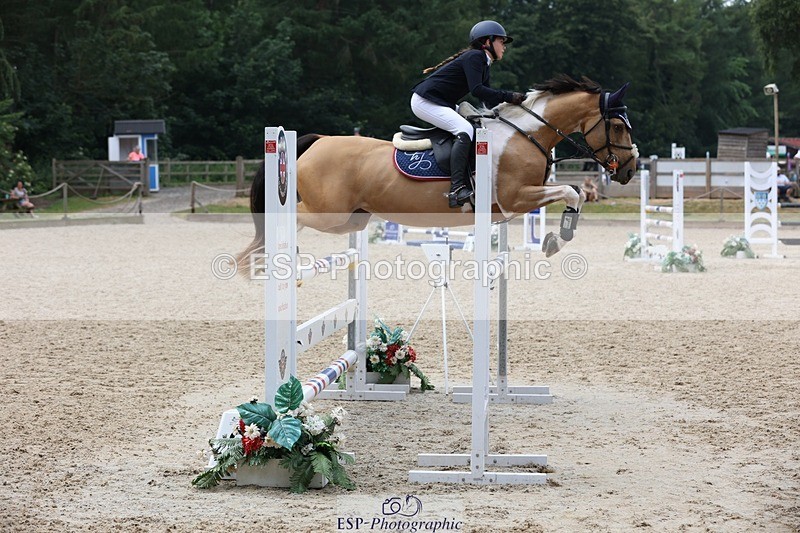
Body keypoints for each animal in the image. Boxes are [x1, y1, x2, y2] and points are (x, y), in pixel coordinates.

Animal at [238, 75, 638, 268]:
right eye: (619, 126)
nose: (630, 169)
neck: (525, 134)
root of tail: (318, 141)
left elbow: (574, 193)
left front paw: (556, 238)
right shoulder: (515, 198)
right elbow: (572, 191)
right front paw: (558, 239)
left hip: (352, 219)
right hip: (330, 214)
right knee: (288, 217)